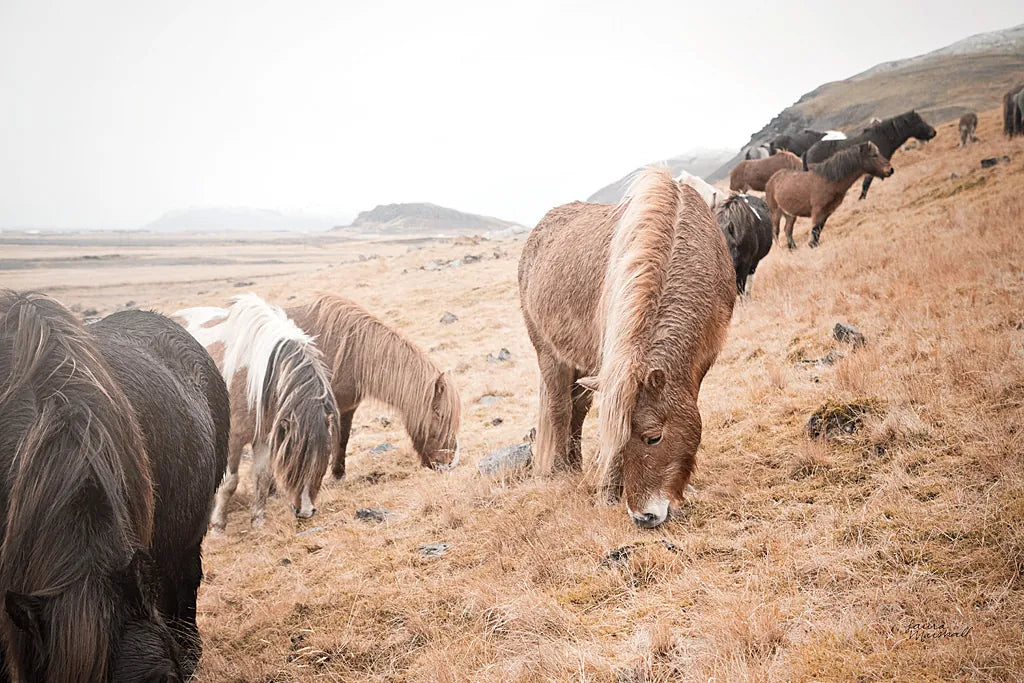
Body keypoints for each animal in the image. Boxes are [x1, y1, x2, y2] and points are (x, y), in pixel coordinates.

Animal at [174, 293, 339, 532]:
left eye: (323, 460)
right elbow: (230, 482)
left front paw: (259, 520)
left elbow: (262, 477)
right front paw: (218, 525)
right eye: (295, 461)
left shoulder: (263, 437)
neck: (255, 375)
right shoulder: (233, 439)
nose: (306, 512)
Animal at [287, 295, 461, 479]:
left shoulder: (346, 408)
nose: (446, 463)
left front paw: (338, 474)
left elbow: (342, 439)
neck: (352, 352)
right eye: (439, 414)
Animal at [518, 167, 736, 528]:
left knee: (577, 410)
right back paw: (563, 471)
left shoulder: (701, 363)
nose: (643, 516)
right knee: (560, 409)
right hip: (549, 355)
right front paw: (608, 492)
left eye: (653, 437)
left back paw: (576, 464)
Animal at [802, 110, 936, 200]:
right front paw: (861, 200)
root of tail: (808, 151)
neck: (881, 138)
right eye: (919, 122)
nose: (933, 132)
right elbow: (866, 184)